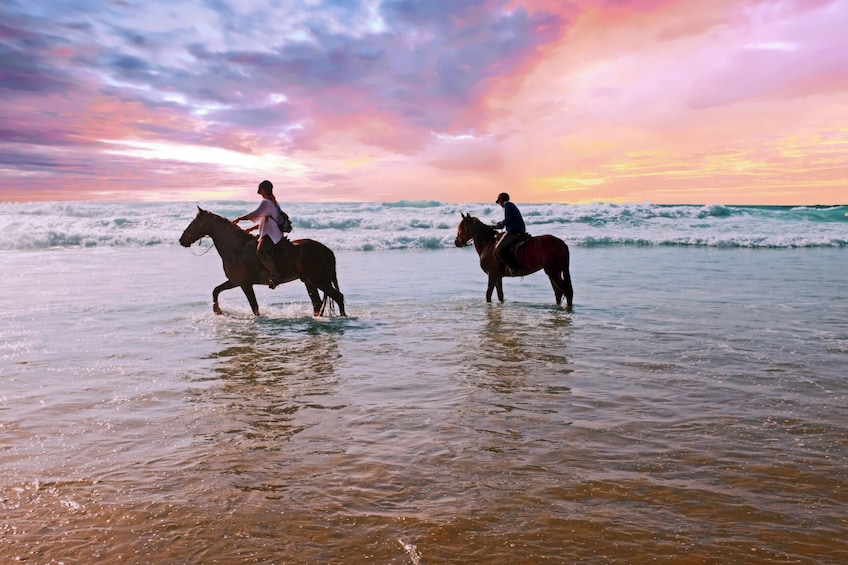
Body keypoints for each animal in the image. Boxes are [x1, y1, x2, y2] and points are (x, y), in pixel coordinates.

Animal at [181, 206, 346, 318]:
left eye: (195, 223)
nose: (182, 240)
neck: (236, 248)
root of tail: (328, 251)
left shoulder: (245, 284)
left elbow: (254, 307)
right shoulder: (235, 281)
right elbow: (216, 290)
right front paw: (217, 311)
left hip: (319, 281)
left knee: (338, 297)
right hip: (309, 282)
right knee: (317, 303)